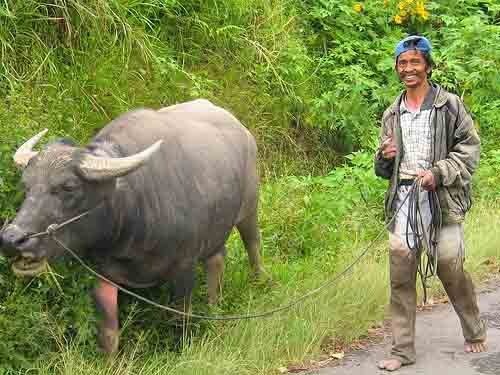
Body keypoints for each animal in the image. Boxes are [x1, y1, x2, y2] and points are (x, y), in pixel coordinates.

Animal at [0, 98, 264, 354]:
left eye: (69, 187)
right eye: (26, 185)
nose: (12, 240)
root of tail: (243, 133)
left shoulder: (185, 268)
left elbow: (182, 317)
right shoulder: (104, 273)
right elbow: (108, 334)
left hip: (249, 209)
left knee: (253, 246)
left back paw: (260, 282)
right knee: (217, 261)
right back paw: (213, 307)